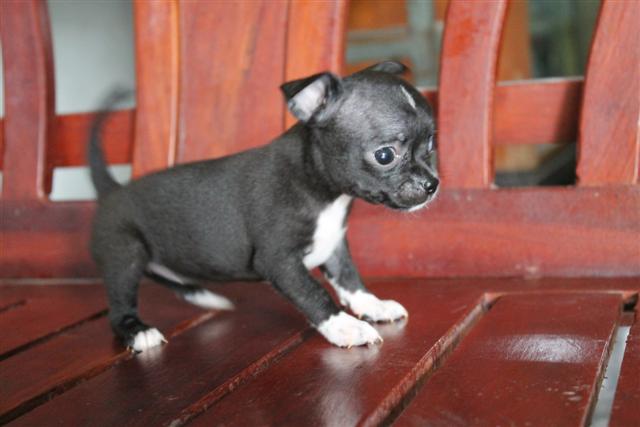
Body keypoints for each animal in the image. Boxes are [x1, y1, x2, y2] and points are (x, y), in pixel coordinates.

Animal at [89, 61, 438, 352]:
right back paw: (138, 331)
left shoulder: (335, 245)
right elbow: (314, 293)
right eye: (385, 155)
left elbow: (350, 280)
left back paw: (206, 297)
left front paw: (374, 305)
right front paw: (345, 327)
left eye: (432, 143)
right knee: (119, 308)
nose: (432, 184)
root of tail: (113, 190)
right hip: (125, 255)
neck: (323, 192)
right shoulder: (279, 261)